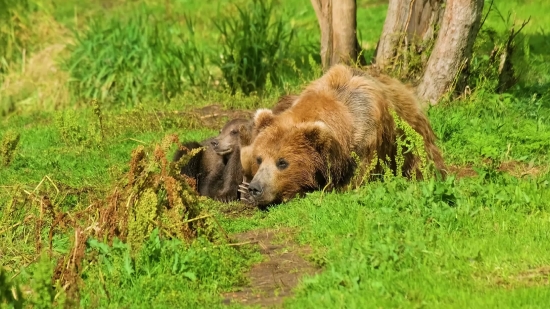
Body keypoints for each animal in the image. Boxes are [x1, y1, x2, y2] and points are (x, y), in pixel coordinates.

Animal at [242, 63, 448, 206]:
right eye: (259, 159)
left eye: (282, 162)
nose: (255, 188)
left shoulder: (366, 141)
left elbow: (354, 181)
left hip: (410, 135)